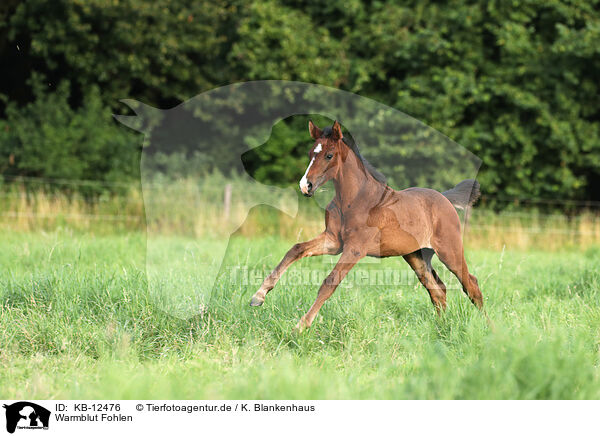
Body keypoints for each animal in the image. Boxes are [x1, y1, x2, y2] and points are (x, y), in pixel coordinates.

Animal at [251, 119, 486, 330]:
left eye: (329, 155)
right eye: (310, 154)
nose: (305, 186)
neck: (354, 199)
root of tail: (444, 198)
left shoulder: (355, 248)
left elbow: (329, 282)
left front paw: (300, 326)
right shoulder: (334, 242)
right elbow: (296, 249)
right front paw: (258, 296)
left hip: (449, 250)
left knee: (471, 285)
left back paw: (489, 330)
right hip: (416, 256)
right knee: (437, 289)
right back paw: (441, 327)